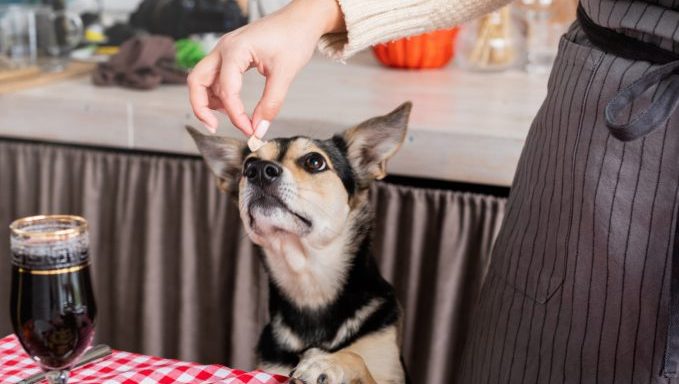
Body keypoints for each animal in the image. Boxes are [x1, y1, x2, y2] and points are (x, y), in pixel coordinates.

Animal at [186, 102, 412, 384]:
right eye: (249, 164)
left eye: (314, 161)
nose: (258, 171)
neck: (309, 283)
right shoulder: (271, 367)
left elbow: (356, 358)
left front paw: (327, 361)